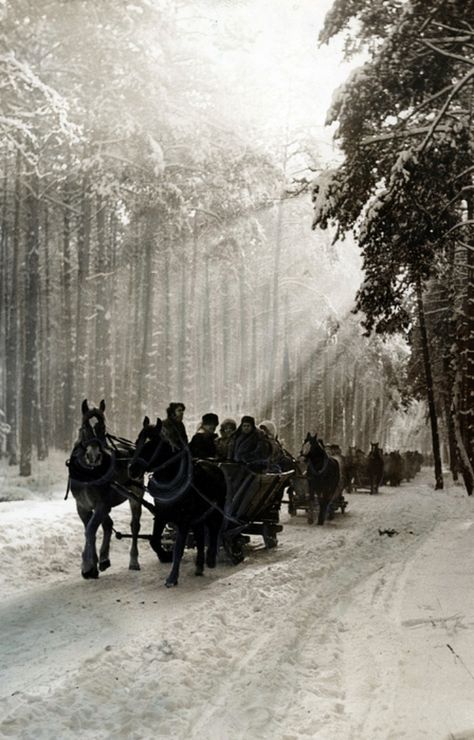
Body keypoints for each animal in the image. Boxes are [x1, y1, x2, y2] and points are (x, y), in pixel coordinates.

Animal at [67, 398, 143, 580]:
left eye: (102, 428)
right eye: (85, 427)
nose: (94, 456)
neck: (89, 473)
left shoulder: (101, 504)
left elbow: (90, 530)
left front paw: (88, 566)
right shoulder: (83, 506)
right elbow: (89, 530)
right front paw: (91, 564)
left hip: (135, 495)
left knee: (134, 525)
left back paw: (133, 560)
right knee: (108, 524)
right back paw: (103, 559)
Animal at [129, 420, 227, 588]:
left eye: (150, 444)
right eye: (137, 442)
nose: (132, 469)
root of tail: (216, 467)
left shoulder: (184, 519)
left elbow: (179, 548)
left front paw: (172, 578)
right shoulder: (161, 515)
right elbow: (155, 541)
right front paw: (164, 555)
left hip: (216, 510)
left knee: (215, 530)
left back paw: (210, 559)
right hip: (198, 516)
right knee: (200, 535)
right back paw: (199, 565)